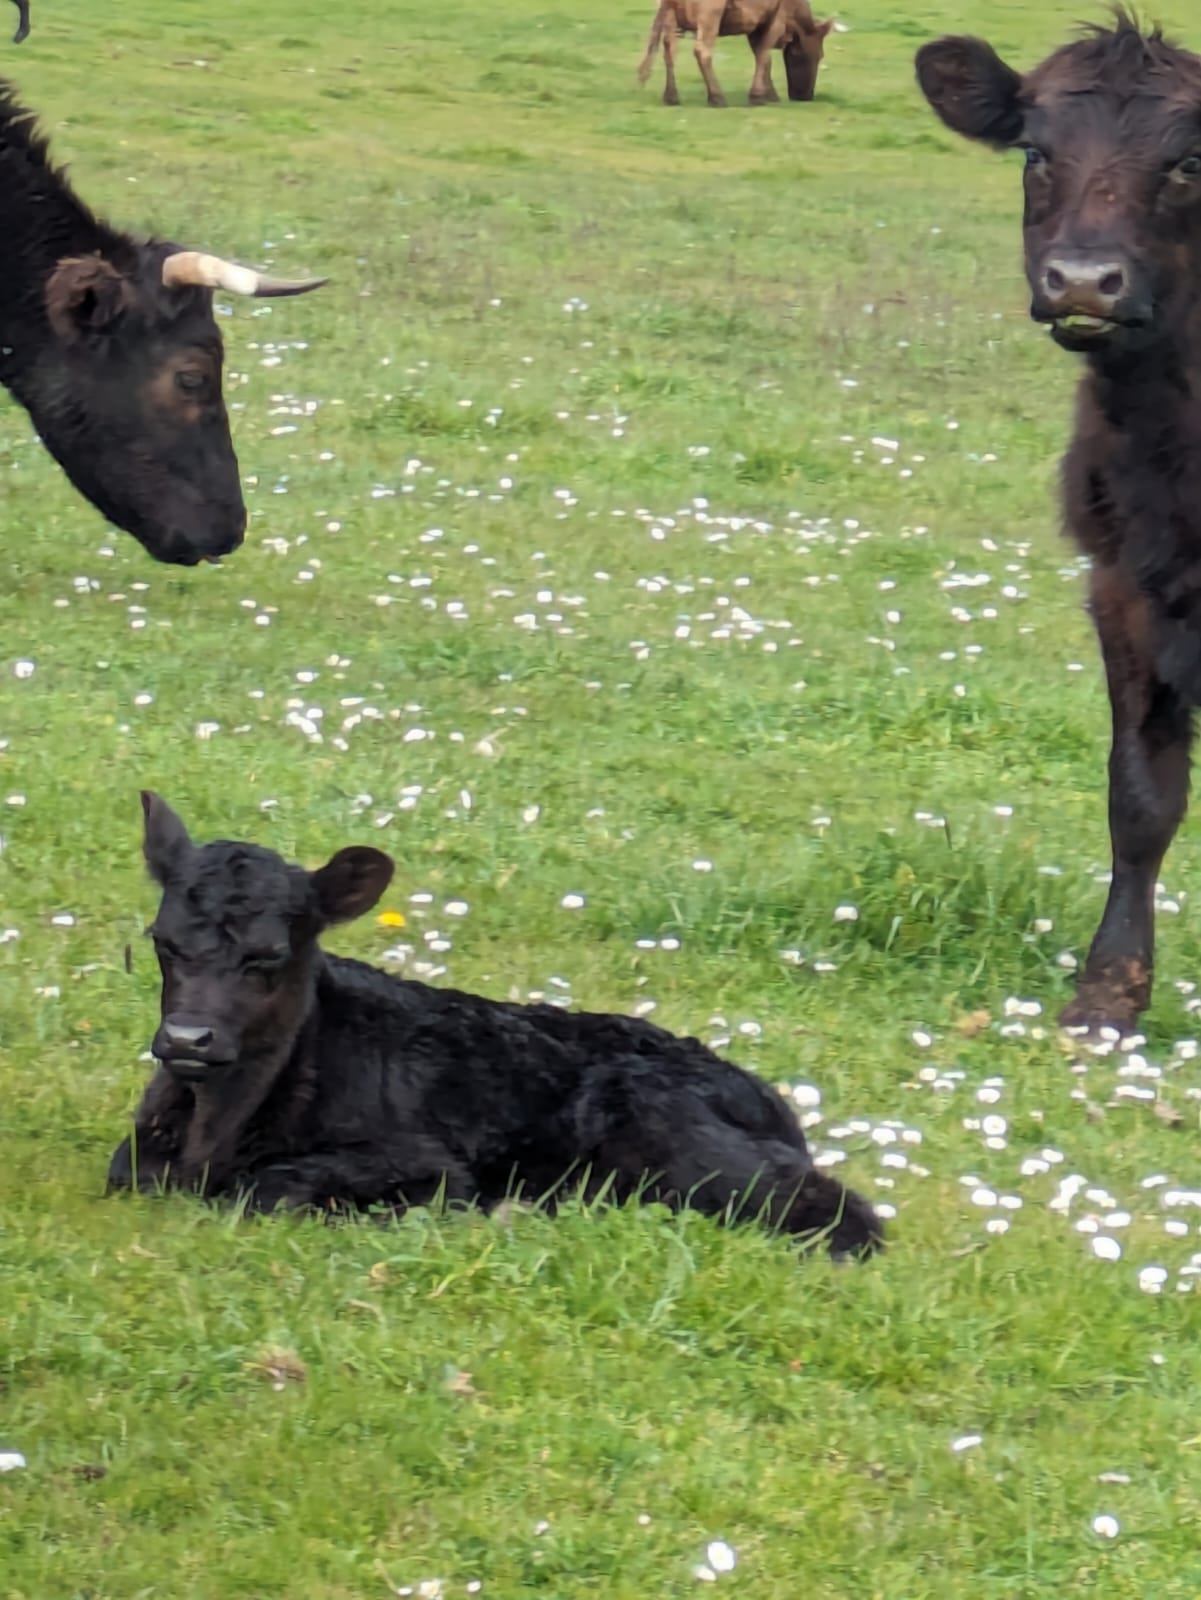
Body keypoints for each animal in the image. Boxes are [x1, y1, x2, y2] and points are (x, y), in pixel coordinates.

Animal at [106, 793, 884, 1262]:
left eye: (268, 955)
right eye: (162, 941)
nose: (187, 1040)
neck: (213, 1135)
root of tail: (764, 1095)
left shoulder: (427, 1159)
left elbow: (271, 1189)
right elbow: (128, 1169)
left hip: (675, 1132)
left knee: (842, 1213)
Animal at [638, 0, 833, 108]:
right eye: (819, 54)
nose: (805, 96)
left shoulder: (756, 25)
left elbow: (762, 57)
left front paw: (769, 93)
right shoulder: (776, 20)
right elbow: (764, 54)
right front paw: (757, 96)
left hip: (670, 15)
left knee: (669, 50)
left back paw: (671, 96)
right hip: (710, 14)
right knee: (702, 51)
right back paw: (717, 97)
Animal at [915, 12, 1201, 1038]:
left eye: (1190, 160)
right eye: (1035, 153)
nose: (1082, 281)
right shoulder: (1120, 585)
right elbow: (1141, 795)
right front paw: (1107, 994)